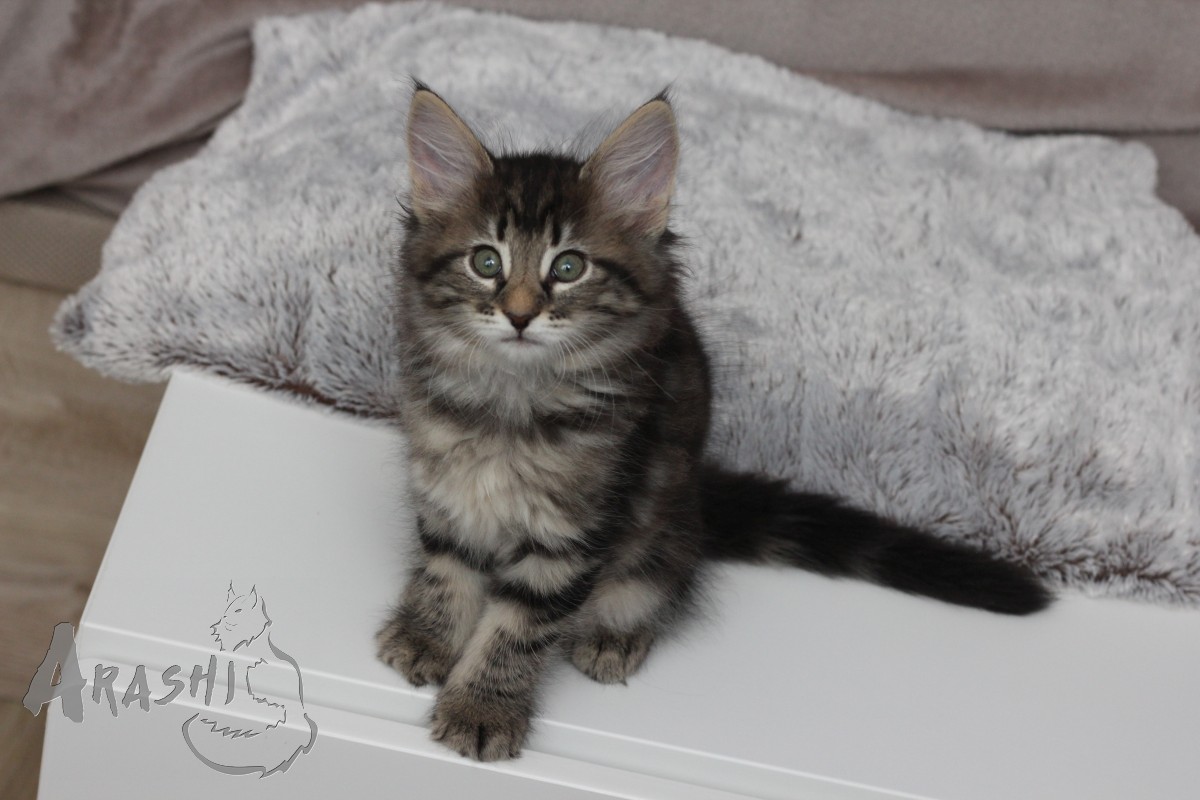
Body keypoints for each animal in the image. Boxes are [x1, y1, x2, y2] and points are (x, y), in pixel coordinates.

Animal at [376, 83, 1051, 762]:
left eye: (568, 268)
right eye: (486, 262)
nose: (518, 315)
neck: (510, 405)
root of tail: (701, 498)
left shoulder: (578, 529)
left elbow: (519, 626)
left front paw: (481, 708)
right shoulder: (447, 497)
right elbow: (446, 574)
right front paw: (426, 636)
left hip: (661, 534)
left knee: (654, 586)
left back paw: (614, 636)